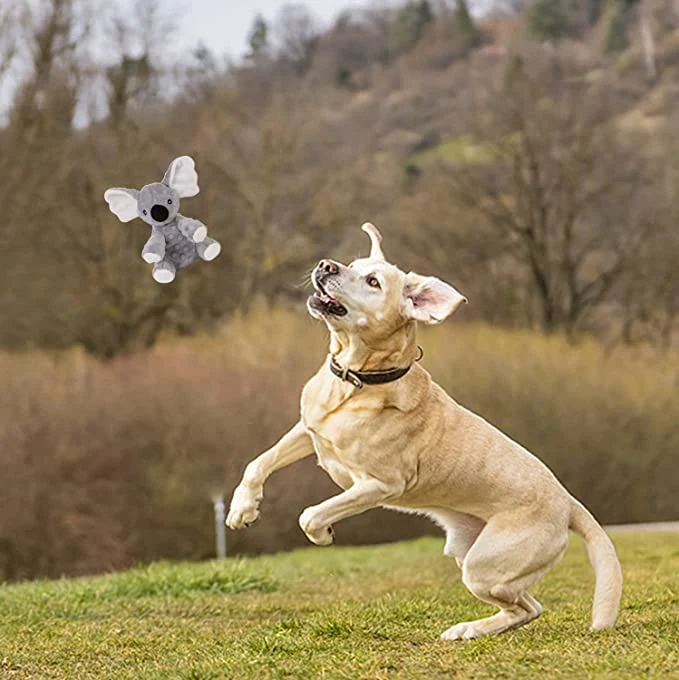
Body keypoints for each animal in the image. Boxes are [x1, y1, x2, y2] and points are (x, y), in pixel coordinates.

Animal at [227, 224, 620, 644]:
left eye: (373, 281)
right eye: (352, 263)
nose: (326, 265)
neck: (358, 380)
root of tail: (568, 502)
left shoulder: (379, 485)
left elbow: (310, 514)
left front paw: (323, 534)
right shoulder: (309, 429)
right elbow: (258, 463)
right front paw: (242, 509)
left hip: (484, 566)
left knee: (527, 607)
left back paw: (467, 629)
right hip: (470, 551)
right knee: (527, 605)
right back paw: (471, 628)